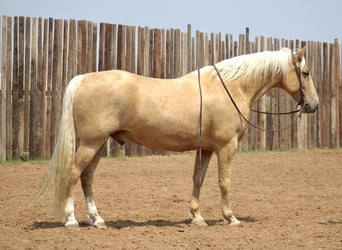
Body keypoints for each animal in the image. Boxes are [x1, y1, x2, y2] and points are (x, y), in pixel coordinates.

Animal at [33, 46, 320, 229]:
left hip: (98, 144)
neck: (230, 87)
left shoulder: (206, 148)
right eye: (305, 72)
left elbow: (198, 179)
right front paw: (230, 218)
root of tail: (84, 78)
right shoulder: (226, 147)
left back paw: (97, 220)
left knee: (87, 178)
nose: (314, 105)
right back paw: (71, 220)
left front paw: (197, 217)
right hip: (91, 144)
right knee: (73, 175)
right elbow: (224, 182)